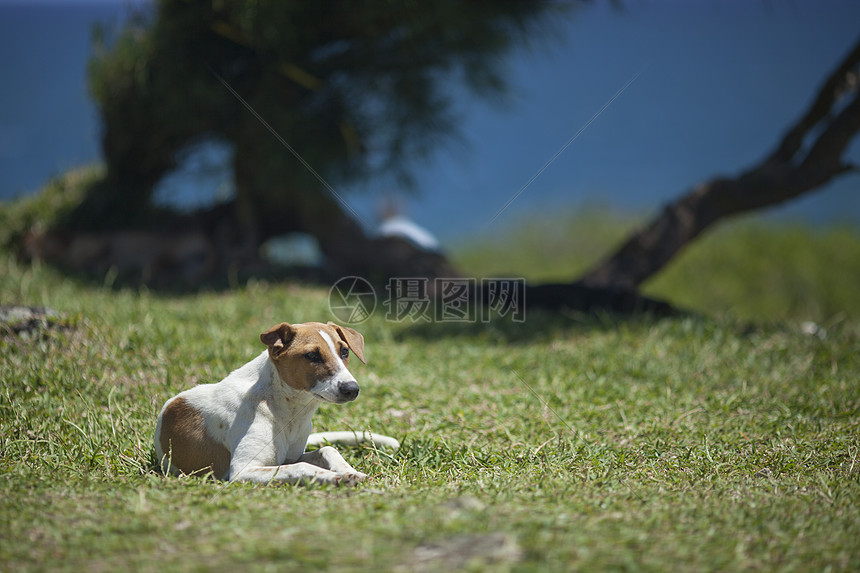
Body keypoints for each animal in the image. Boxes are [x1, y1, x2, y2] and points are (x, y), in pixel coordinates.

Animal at [153, 320, 398, 484]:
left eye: (345, 351)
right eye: (312, 356)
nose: (352, 389)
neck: (289, 411)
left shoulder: (291, 456)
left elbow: (327, 450)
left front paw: (349, 471)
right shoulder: (244, 470)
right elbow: (302, 467)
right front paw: (336, 477)